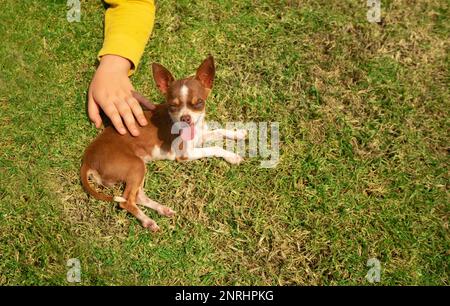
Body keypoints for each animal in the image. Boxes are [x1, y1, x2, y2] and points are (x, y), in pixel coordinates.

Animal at [81, 55, 250, 232]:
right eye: (173, 106)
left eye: (199, 103)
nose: (185, 118)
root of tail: (87, 160)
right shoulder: (185, 154)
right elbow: (215, 148)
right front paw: (232, 156)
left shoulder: (200, 137)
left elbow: (218, 131)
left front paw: (237, 133)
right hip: (135, 165)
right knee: (127, 201)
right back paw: (148, 221)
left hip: (137, 169)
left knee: (137, 196)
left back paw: (162, 209)